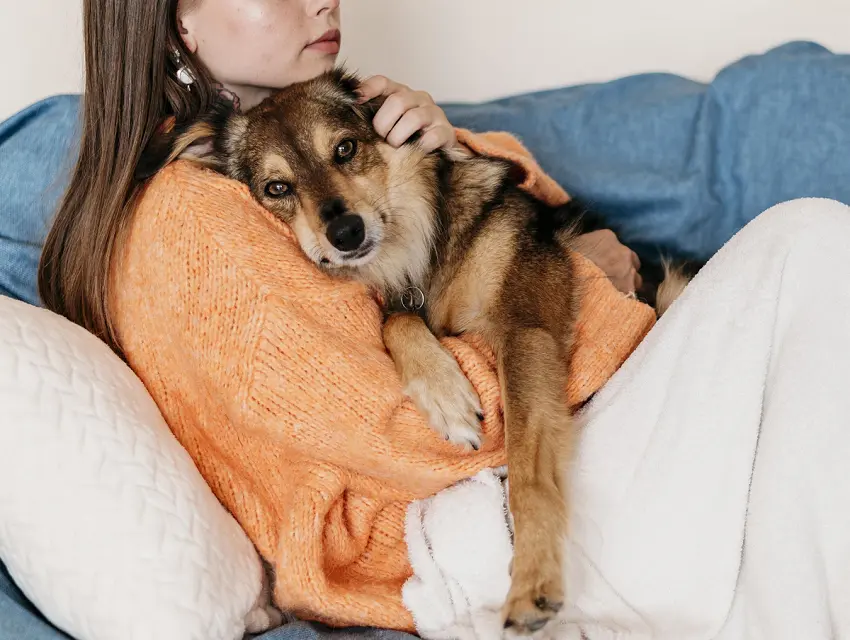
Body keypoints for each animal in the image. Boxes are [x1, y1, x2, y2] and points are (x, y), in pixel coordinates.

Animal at [141, 70, 684, 636]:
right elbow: (397, 320)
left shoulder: (526, 328)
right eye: (277, 188)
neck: (414, 256)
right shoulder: (422, 310)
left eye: (345, 148)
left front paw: (533, 581)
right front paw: (446, 397)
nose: (346, 233)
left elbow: (528, 473)